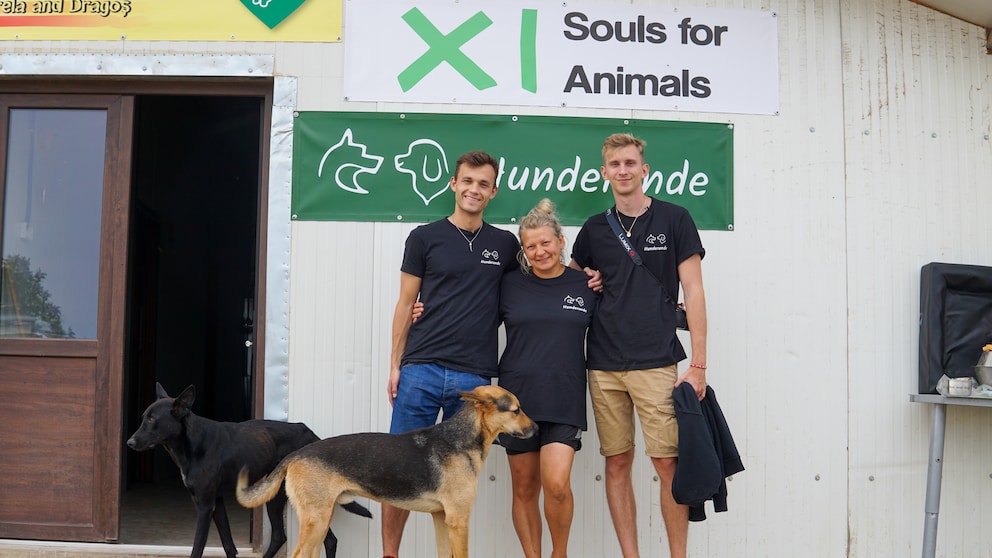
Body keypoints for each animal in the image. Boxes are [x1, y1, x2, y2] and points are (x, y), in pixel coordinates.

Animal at [126, 384, 370, 558]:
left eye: (152, 419)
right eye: (143, 418)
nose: (129, 443)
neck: (191, 443)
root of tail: (310, 434)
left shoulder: (205, 506)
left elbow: (197, 548)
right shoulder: (217, 503)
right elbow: (228, 544)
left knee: (318, 539)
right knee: (290, 537)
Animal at [237, 388, 540, 558]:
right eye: (516, 410)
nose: (538, 429)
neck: (460, 439)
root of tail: (296, 454)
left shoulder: (442, 518)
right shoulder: (459, 520)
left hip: (319, 520)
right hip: (316, 520)